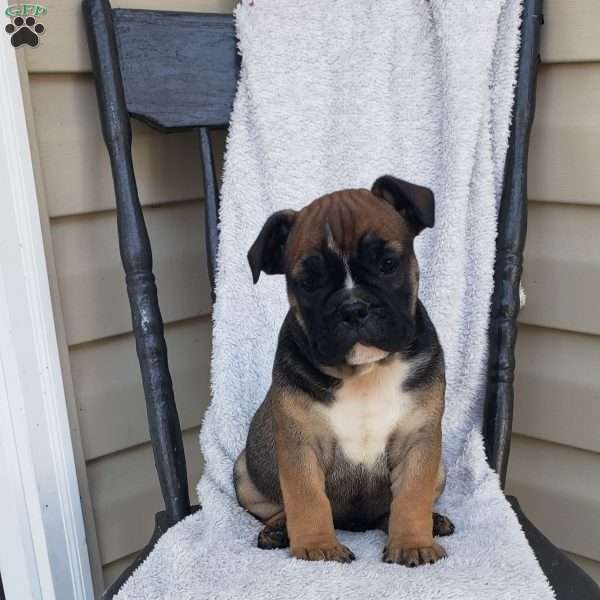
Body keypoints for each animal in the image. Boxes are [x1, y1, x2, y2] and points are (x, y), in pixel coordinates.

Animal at [234, 176, 454, 564]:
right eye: (308, 283)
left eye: (387, 263)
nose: (353, 308)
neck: (364, 372)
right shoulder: (300, 446)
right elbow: (307, 499)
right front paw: (317, 547)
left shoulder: (419, 442)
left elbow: (412, 497)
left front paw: (413, 542)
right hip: (244, 473)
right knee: (278, 507)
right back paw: (278, 529)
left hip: (439, 468)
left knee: (392, 510)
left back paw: (433, 521)